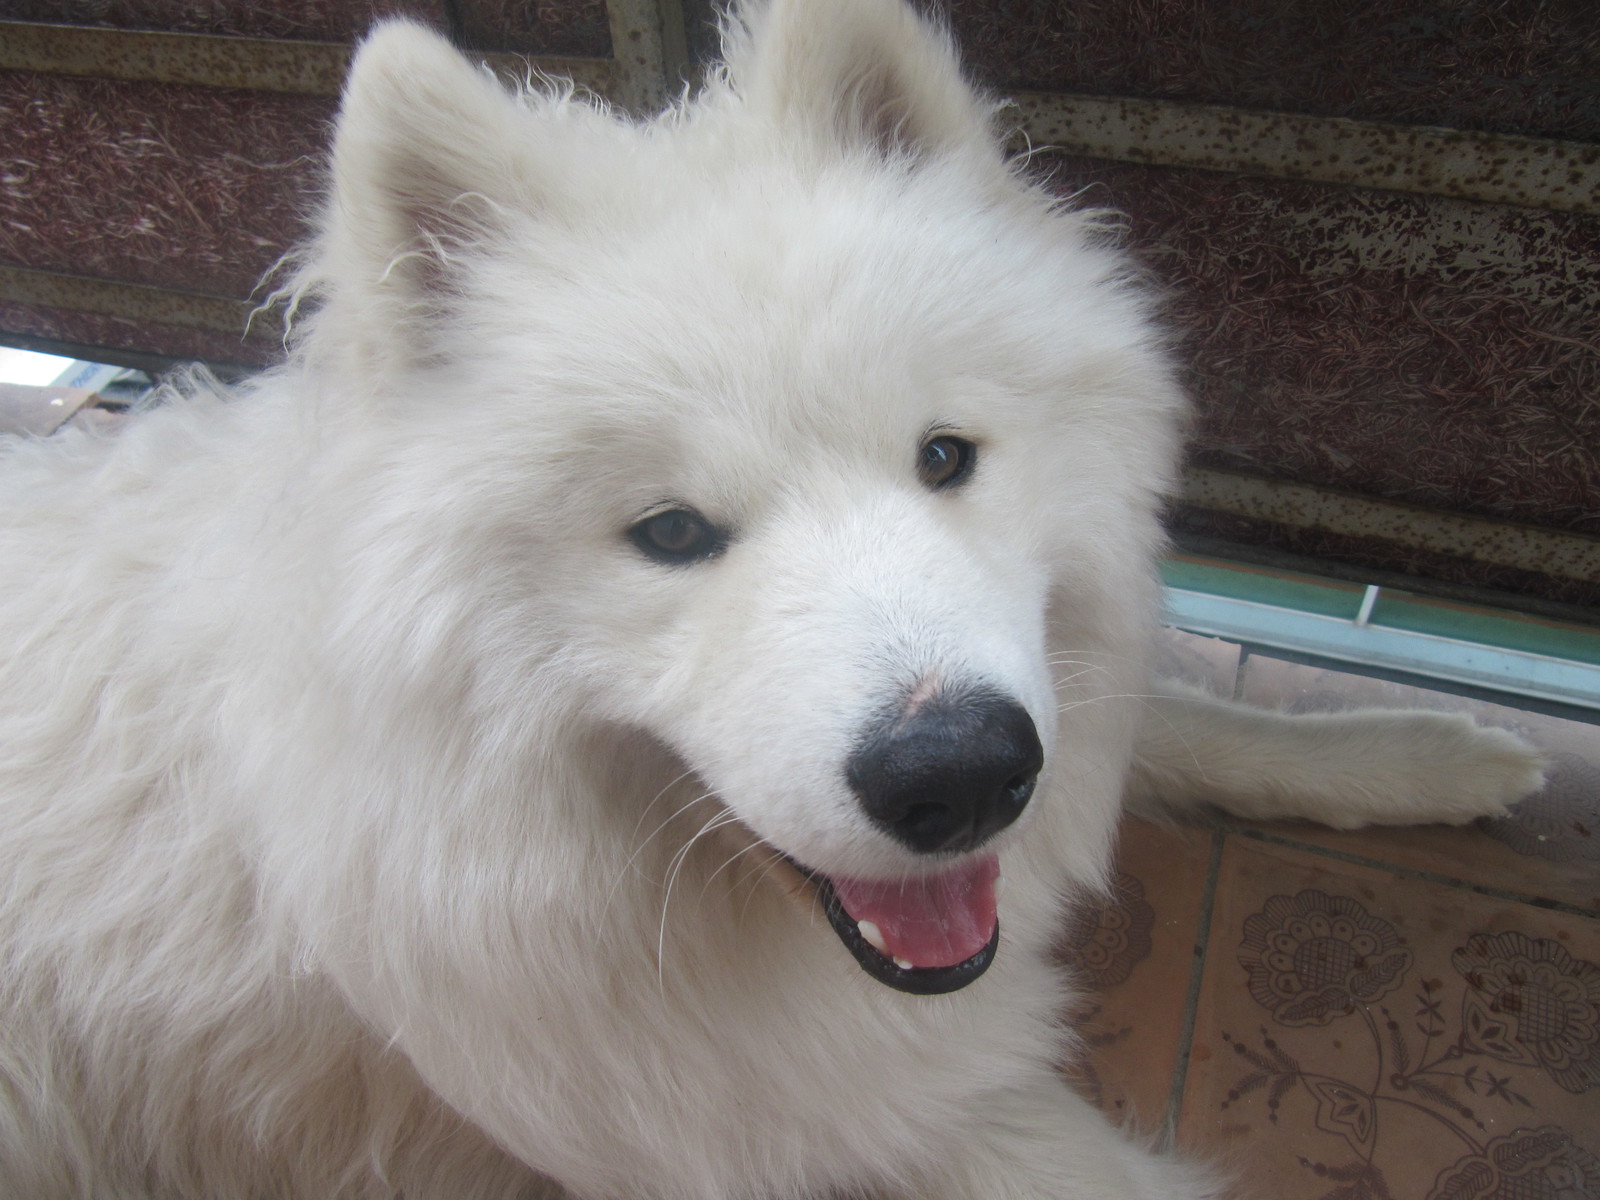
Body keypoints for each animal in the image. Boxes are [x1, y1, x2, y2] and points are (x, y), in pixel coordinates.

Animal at [0, 0, 1548, 1196]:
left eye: (944, 458)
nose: (960, 776)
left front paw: (1424, 754)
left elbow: (1183, 717)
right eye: (672, 533)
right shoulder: (837, 1125)